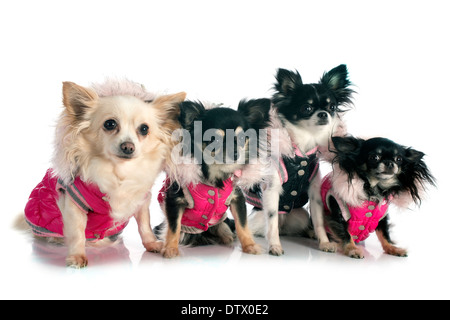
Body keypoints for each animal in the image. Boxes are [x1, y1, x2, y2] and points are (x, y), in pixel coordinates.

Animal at [20, 80, 186, 268]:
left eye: (144, 129)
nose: (128, 146)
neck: (119, 171)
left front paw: (151, 243)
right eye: (110, 124)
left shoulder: (141, 200)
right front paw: (77, 256)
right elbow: (77, 233)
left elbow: (145, 225)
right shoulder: (74, 202)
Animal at [156, 99, 270, 258]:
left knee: (225, 227)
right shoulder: (174, 200)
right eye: (213, 139)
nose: (235, 153)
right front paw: (171, 249)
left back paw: (226, 236)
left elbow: (242, 225)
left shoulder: (237, 198)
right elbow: (174, 227)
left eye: (242, 138)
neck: (216, 176)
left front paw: (250, 245)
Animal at [244, 64, 354, 255]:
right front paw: (275, 246)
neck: (301, 151)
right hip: (257, 218)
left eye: (332, 106)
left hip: (300, 216)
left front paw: (324, 243)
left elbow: (318, 221)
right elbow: (271, 221)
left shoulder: (314, 193)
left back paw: (310, 234)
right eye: (306, 108)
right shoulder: (271, 191)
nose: (324, 113)